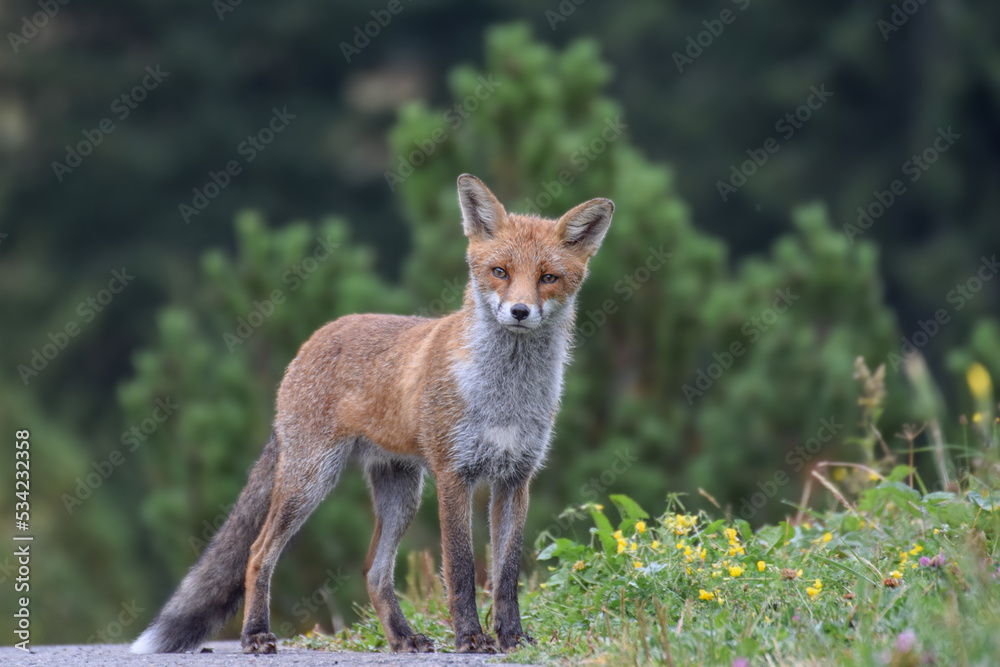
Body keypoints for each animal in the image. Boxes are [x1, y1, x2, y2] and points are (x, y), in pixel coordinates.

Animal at [129, 175, 612, 656]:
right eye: (500, 272)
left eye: (548, 278)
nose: (519, 311)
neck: (505, 395)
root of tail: (317, 337)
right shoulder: (454, 474)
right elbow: (460, 568)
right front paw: (471, 638)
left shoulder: (516, 477)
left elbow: (506, 573)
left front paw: (511, 637)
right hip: (312, 479)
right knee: (258, 552)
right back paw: (255, 635)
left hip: (401, 491)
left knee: (374, 572)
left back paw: (402, 637)